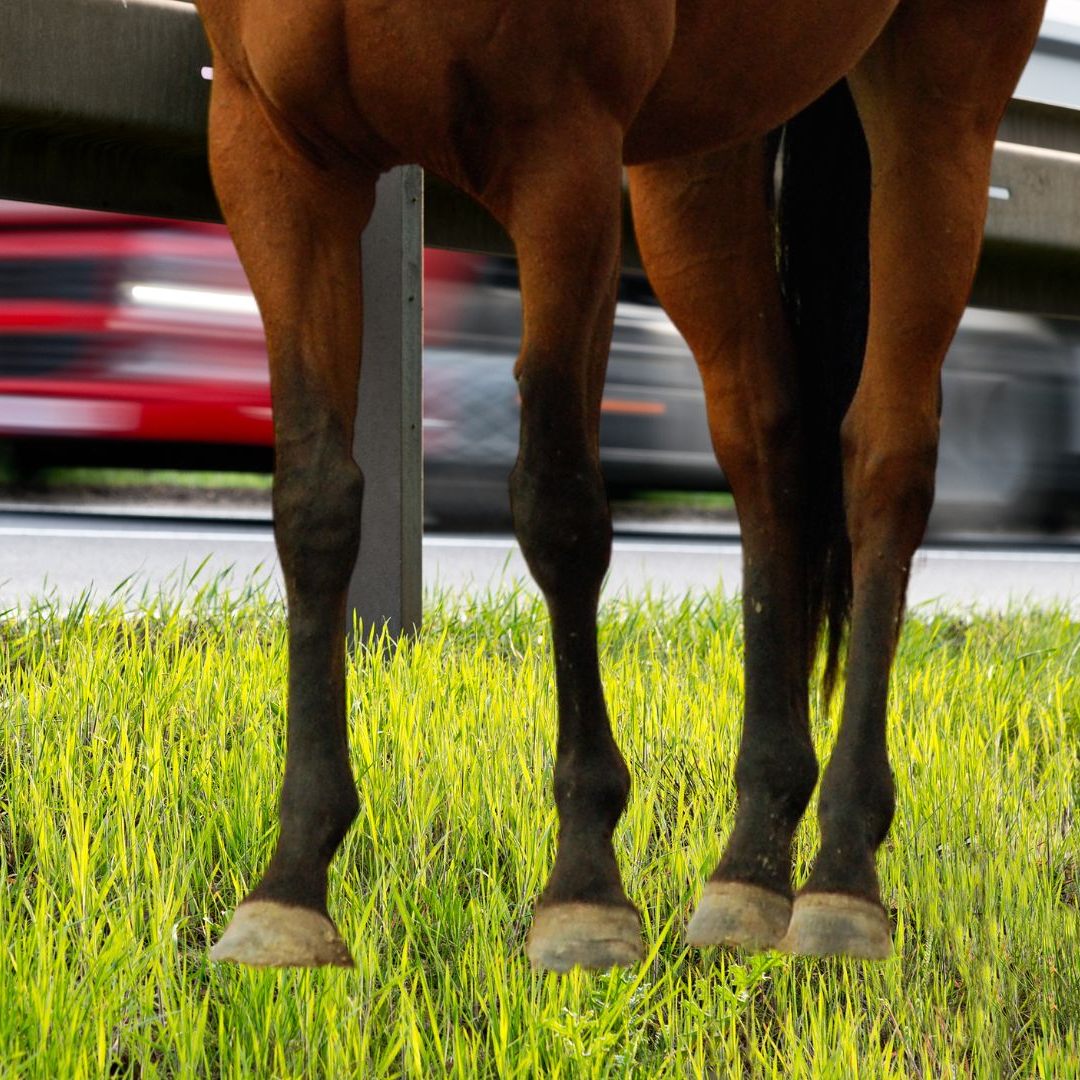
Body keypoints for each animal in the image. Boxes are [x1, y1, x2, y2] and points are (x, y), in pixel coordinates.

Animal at [197, 0, 1047, 970]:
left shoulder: (564, 156)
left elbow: (558, 507)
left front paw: (583, 886)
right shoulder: (273, 155)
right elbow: (314, 504)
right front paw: (290, 884)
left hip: (942, 94)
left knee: (884, 456)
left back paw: (841, 873)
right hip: (704, 146)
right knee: (765, 443)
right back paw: (750, 868)